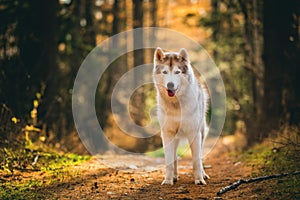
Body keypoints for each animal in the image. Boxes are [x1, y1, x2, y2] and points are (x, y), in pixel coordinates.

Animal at [152, 47, 209, 185]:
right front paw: (168, 180)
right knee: (174, 157)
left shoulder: (194, 133)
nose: (170, 85)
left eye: (177, 72)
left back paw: (203, 175)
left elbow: (196, 160)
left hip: (202, 133)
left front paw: (199, 180)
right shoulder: (167, 133)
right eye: (165, 72)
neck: (176, 105)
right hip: (175, 137)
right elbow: (169, 161)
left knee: (200, 156)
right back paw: (174, 176)